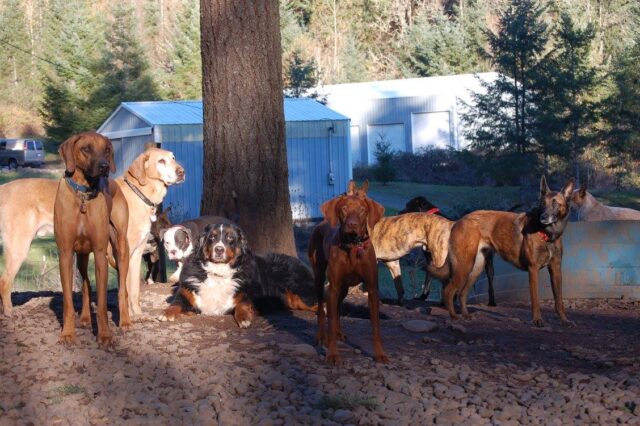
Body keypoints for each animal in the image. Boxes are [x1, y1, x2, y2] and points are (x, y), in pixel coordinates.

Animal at [0, 146, 184, 316]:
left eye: (173, 158)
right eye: (161, 161)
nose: (182, 172)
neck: (138, 193)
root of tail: (4, 188)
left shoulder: (137, 254)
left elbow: (134, 290)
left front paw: (137, 314)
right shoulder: (121, 252)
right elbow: (125, 288)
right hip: (19, 246)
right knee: (4, 282)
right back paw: (9, 311)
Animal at [54, 133, 131, 346]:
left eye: (107, 149)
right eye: (86, 148)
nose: (104, 167)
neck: (83, 194)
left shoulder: (99, 253)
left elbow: (103, 304)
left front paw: (104, 335)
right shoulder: (65, 254)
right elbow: (68, 302)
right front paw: (67, 333)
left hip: (121, 248)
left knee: (122, 288)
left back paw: (125, 321)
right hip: (81, 256)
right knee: (87, 285)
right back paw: (85, 318)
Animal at [160, 221, 318, 328]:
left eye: (230, 238)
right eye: (212, 237)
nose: (219, 249)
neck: (218, 273)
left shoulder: (246, 294)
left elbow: (242, 304)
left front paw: (244, 319)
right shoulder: (186, 295)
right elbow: (175, 304)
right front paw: (166, 313)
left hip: (301, 295)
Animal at [430, 176, 576, 326]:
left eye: (555, 204)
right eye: (542, 204)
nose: (544, 217)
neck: (547, 235)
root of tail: (458, 221)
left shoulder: (556, 270)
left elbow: (559, 300)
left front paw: (564, 320)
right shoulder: (533, 269)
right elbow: (535, 300)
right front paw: (537, 320)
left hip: (476, 268)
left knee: (462, 293)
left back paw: (466, 315)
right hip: (464, 266)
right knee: (448, 292)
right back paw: (454, 317)